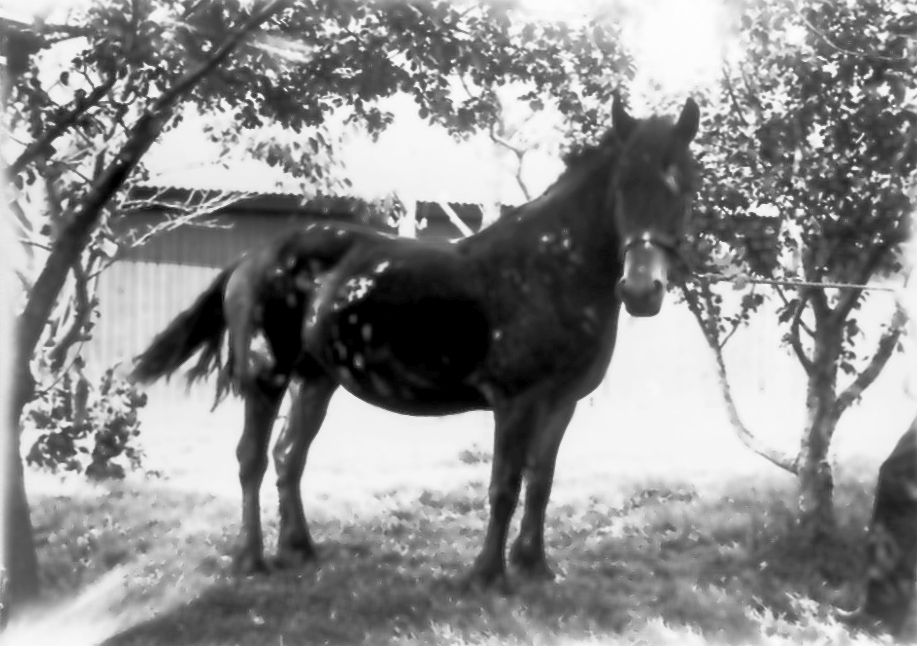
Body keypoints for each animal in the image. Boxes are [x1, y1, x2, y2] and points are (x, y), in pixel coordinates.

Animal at [130, 95, 701, 591]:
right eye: (623, 186)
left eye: (684, 188)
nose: (642, 290)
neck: (552, 265)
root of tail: (252, 259)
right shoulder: (516, 401)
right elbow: (504, 486)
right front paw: (487, 576)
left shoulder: (562, 403)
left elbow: (541, 483)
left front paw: (534, 566)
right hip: (266, 376)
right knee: (250, 458)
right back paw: (251, 558)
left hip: (316, 381)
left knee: (289, 456)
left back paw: (300, 548)